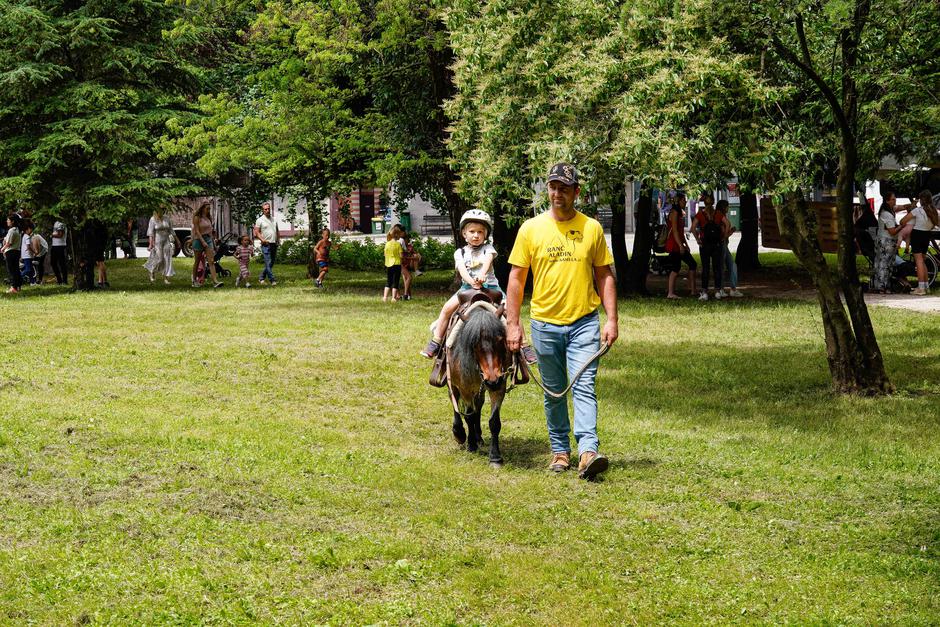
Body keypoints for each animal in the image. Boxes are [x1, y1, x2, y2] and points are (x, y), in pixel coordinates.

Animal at [446, 304, 506, 466]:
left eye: (500, 339)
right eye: (474, 344)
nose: (492, 380)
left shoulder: (499, 388)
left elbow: (494, 422)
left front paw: (495, 457)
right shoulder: (465, 389)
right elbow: (469, 417)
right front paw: (471, 444)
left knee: (478, 405)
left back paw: (479, 437)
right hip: (454, 384)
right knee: (455, 400)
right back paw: (460, 433)